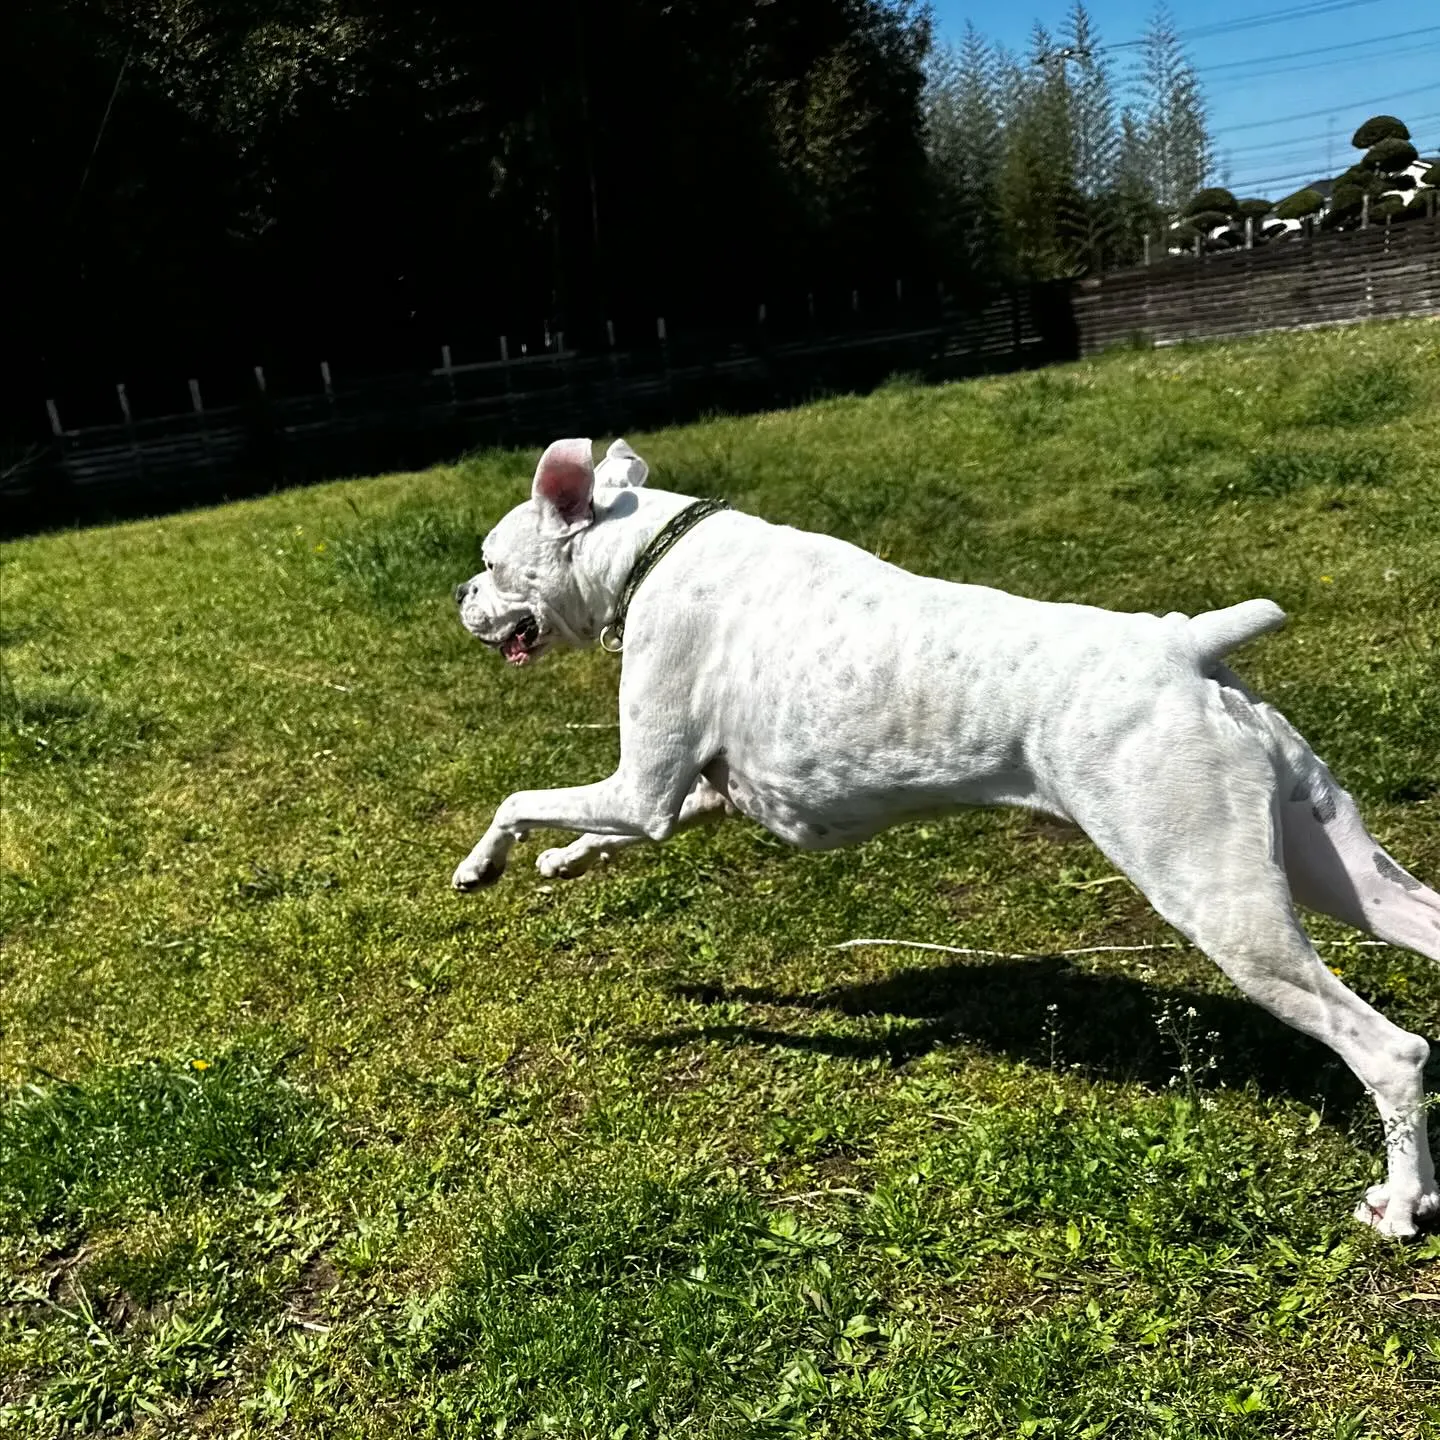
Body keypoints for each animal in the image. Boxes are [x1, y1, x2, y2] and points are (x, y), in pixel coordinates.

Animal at [457, 432, 1440, 1232]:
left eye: (493, 561)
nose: (463, 593)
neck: (650, 551)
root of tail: (1184, 645)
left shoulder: (642, 788)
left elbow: (516, 798)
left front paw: (481, 865)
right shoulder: (689, 798)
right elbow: (596, 831)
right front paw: (562, 860)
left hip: (1225, 907)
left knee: (1389, 1051)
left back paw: (1399, 1204)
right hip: (1340, 870)